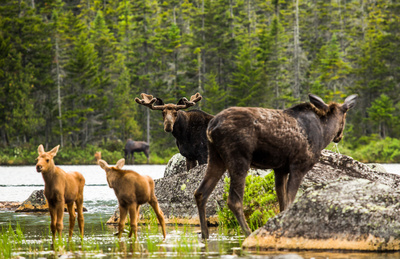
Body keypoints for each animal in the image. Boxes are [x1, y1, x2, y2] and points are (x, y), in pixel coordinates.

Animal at [192, 93, 358, 240]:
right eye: (345, 116)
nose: (339, 136)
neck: (324, 133)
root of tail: (211, 126)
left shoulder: (280, 169)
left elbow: (282, 202)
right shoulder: (299, 166)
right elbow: (290, 200)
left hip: (215, 158)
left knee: (200, 193)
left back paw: (205, 235)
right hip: (239, 159)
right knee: (234, 200)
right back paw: (248, 233)